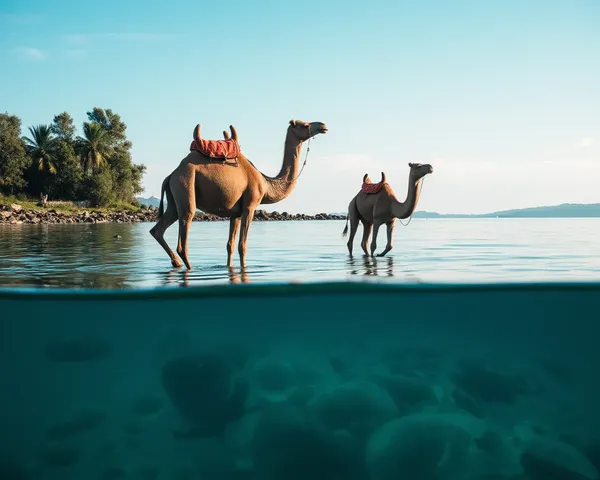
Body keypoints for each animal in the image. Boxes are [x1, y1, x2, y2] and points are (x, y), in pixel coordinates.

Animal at [150, 119, 328, 270]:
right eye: (305, 125)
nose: (323, 126)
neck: (265, 183)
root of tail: (171, 175)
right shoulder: (250, 206)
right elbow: (243, 245)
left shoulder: (235, 213)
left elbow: (230, 245)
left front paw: (229, 268)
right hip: (185, 186)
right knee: (183, 240)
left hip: (174, 198)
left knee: (157, 229)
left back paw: (176, 263)